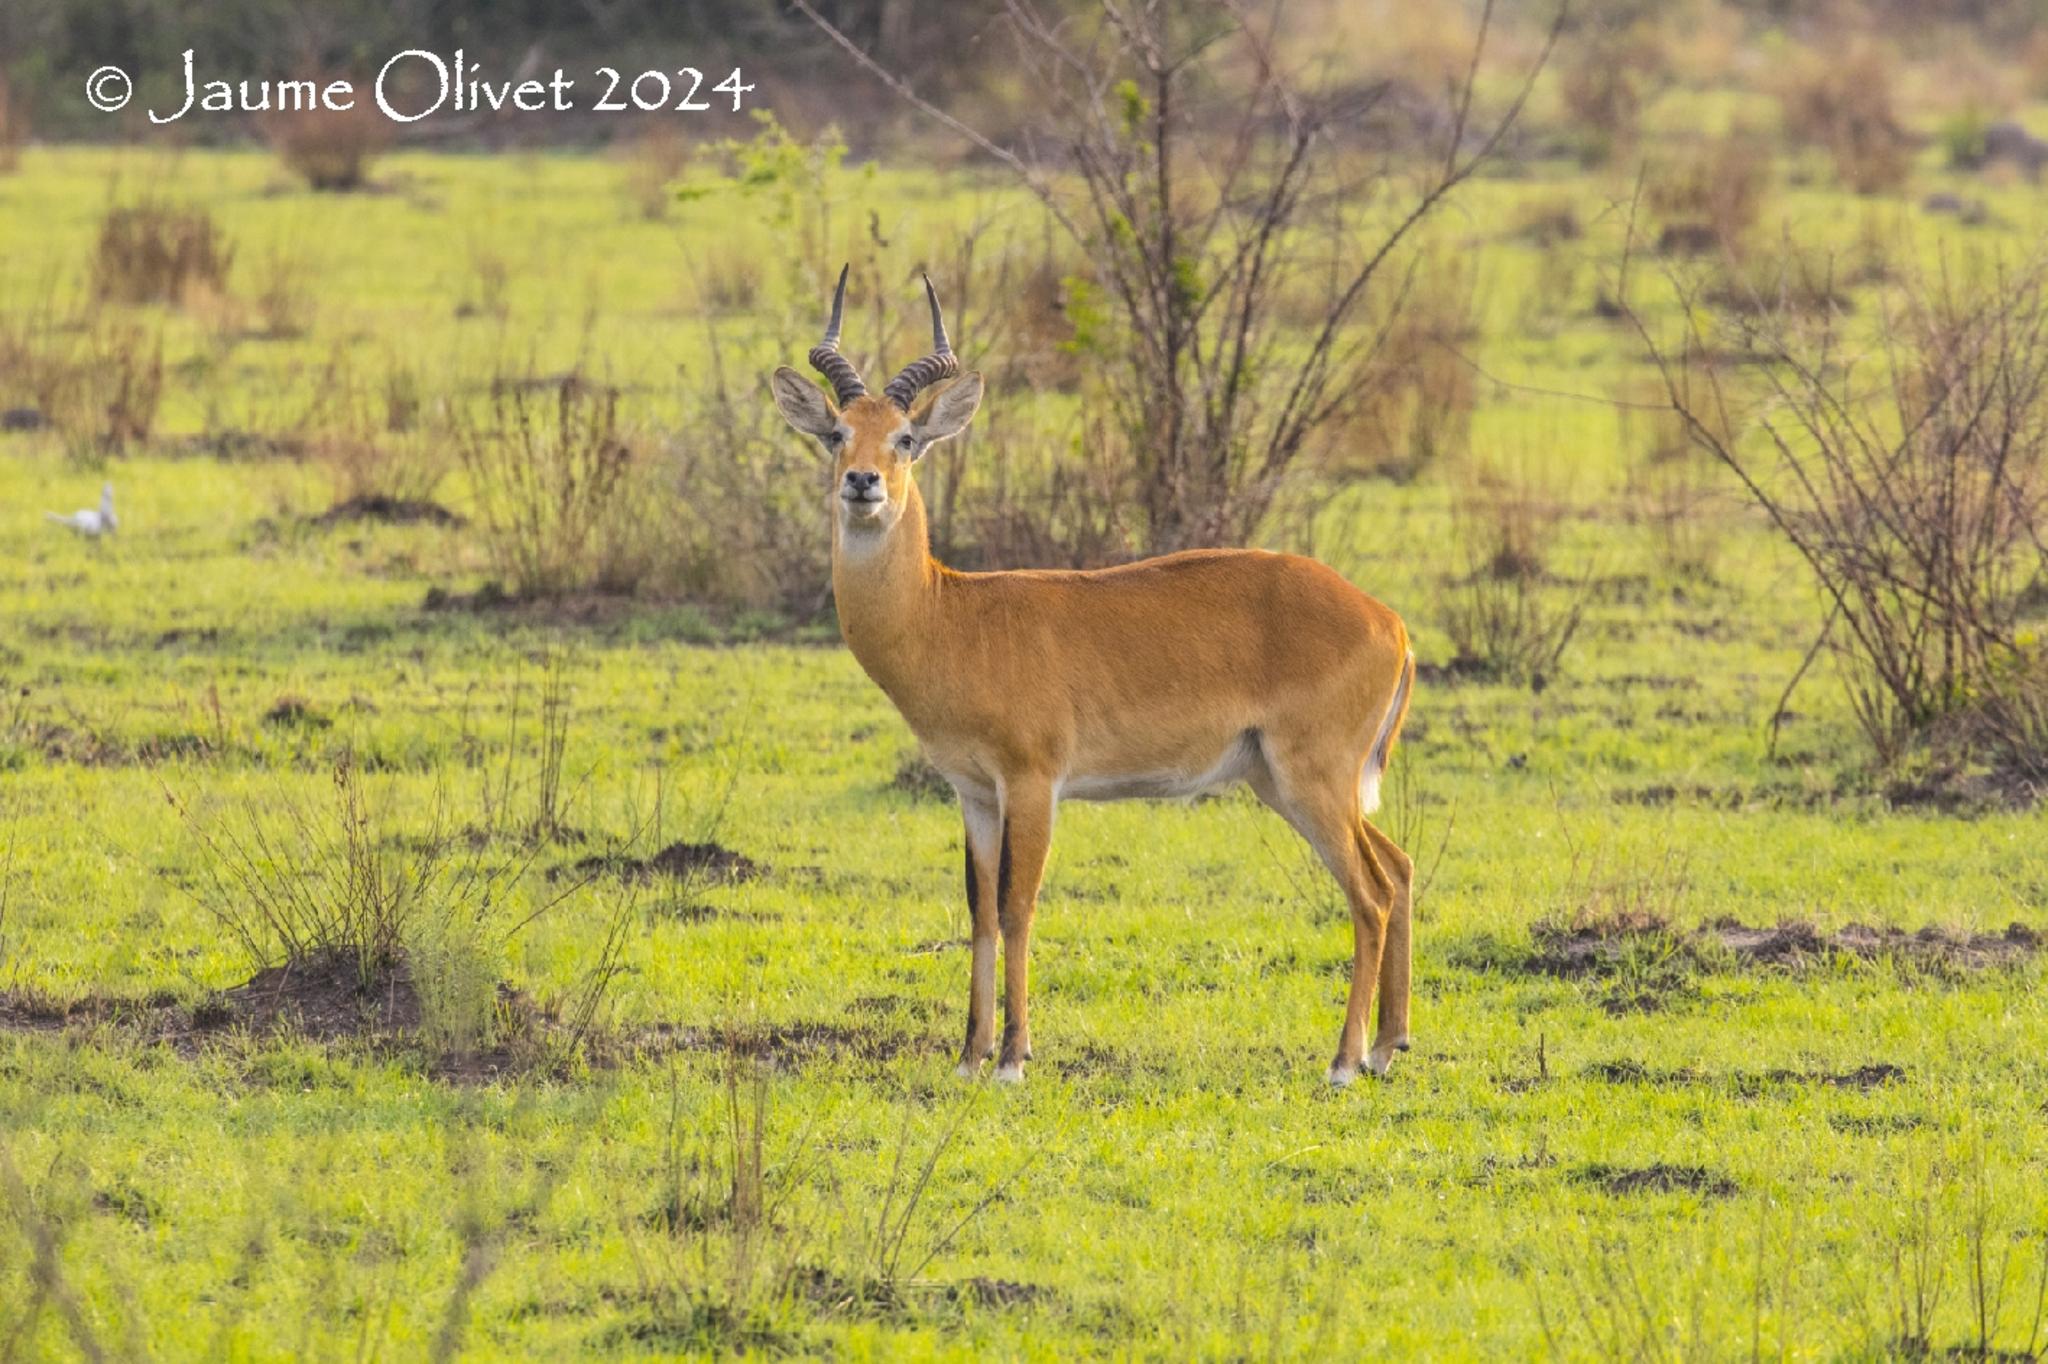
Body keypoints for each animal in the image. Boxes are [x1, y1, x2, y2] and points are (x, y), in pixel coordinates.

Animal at [774, 268, 1417, 1081]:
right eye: (836, 432)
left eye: (906, 438)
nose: (863, 483)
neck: (952, 618)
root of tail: (1388, 620)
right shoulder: (973, 794)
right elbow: (979, 910)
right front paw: (969, 1055)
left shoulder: (1033, 782)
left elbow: (1018, 906)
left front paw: (1013, 1058)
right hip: (1284, 782)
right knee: (1398, 867)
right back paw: (1389, 1047)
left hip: (1313, 779)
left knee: (1369, 895)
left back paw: (1343, 1061)